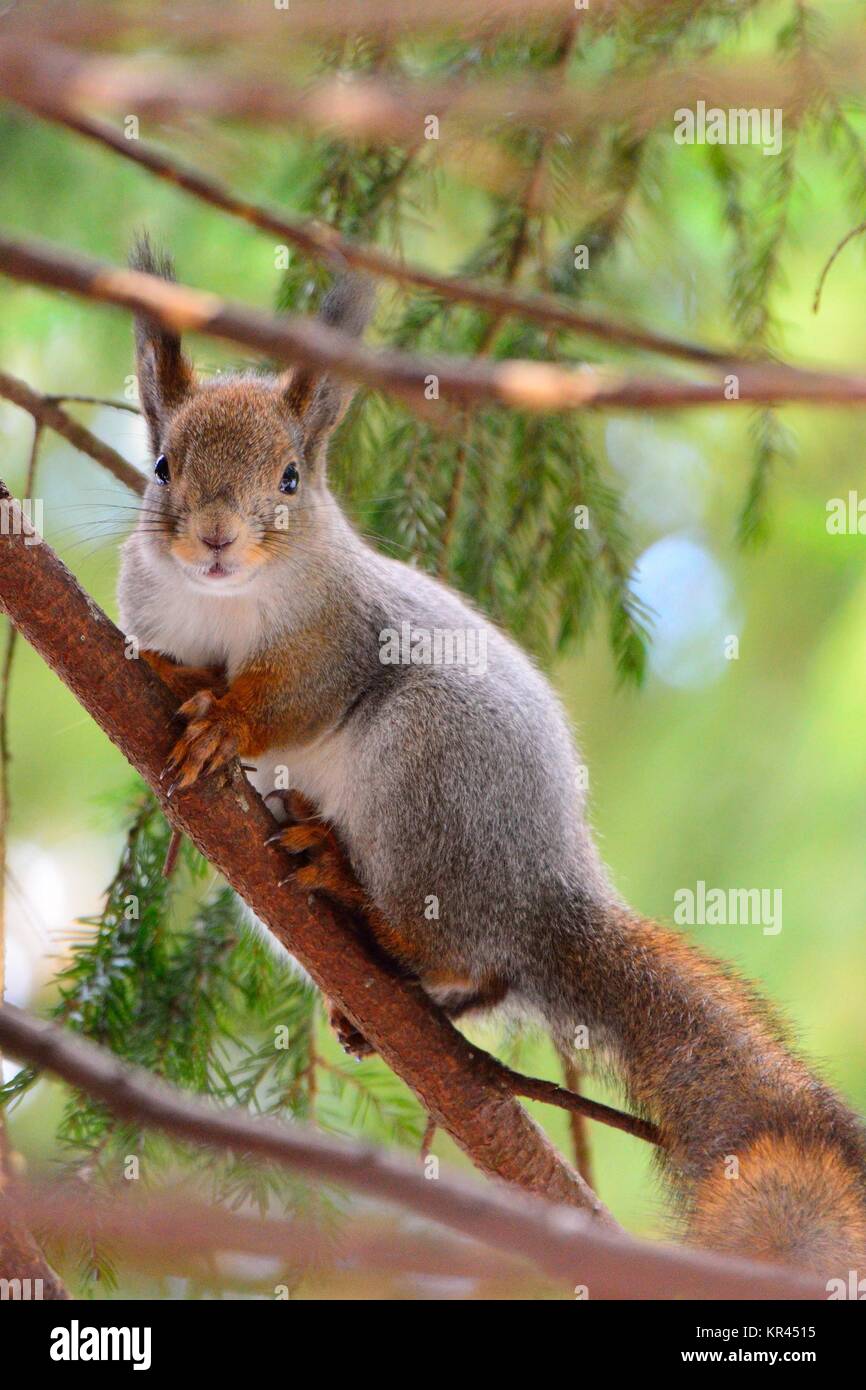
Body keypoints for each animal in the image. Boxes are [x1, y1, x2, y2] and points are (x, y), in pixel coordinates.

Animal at [118, 239, 866, 1273]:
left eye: (290, 478)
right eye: (160, 467)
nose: (216, 540)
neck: (223, 604)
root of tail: (547, 898)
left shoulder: (341, 634)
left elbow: (290, 701)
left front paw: (228, 721)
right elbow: (164, 653)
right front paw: (170, 673)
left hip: (428, 768)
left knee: (453, 942)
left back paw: (350, 886)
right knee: (487, 977)